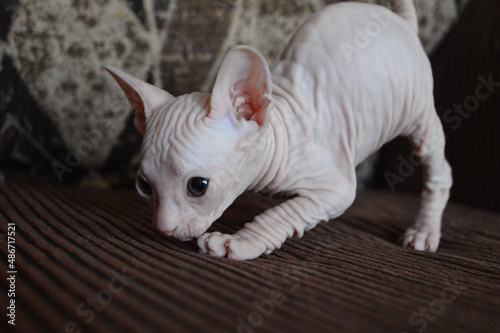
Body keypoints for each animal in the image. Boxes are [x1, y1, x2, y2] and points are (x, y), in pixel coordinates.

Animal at [105, 0, 454, 260]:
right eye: (144, 187)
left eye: (198, 186)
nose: (163, 229)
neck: (282, 126)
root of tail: (400, 21)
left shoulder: (335, 187)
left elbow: (282, 215)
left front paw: (238, 243)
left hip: (419, 113)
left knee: (439, 170)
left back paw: (424, 231)